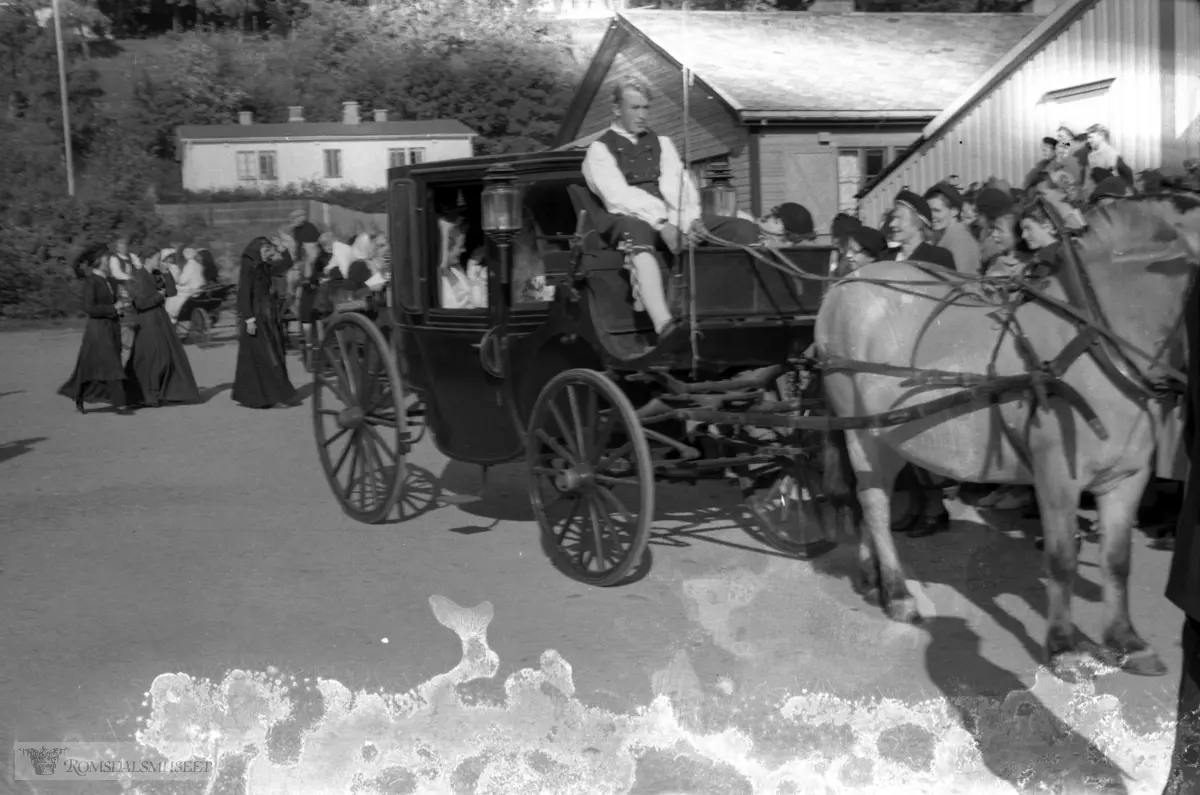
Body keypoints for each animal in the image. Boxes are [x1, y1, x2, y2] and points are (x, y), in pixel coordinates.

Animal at [816, 193, 1200, 677]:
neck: (1099, 350)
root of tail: (845, 283)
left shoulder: (1127, 479)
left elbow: (1117, 561)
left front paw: (1126, 641)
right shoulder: (1057, 478)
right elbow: (1061, 559)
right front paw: (1064, 647)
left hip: (892, 433)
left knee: (872, 499)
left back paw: (873, 579)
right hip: (862, 434)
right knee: (875, 503)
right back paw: (899, 594)